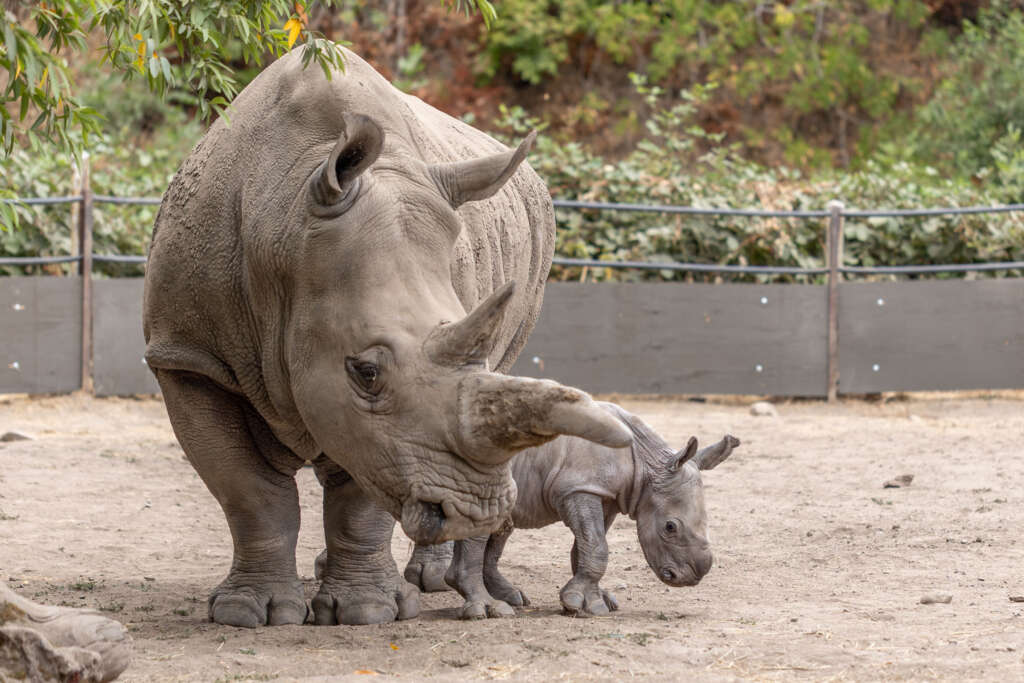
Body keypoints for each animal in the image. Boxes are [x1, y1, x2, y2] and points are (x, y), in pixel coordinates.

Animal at [142, 47, 631, 628]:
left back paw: (428, 581)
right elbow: (250, 491)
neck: (285, 222)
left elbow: (363, 490)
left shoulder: (389, 430)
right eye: (366, 371)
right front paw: (248, 614)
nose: (479, 510)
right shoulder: (188, 357)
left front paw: (368, 611)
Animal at [407, 404, 739, 618]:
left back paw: (511, 598)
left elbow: (587, 546)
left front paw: (593, 601)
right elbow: (597, 546)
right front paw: (585, 605)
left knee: (500, 527)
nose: (691, 577)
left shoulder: (605, 494)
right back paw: (487, 611)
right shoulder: (579, 487)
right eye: (670, 527)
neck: (645, 463)